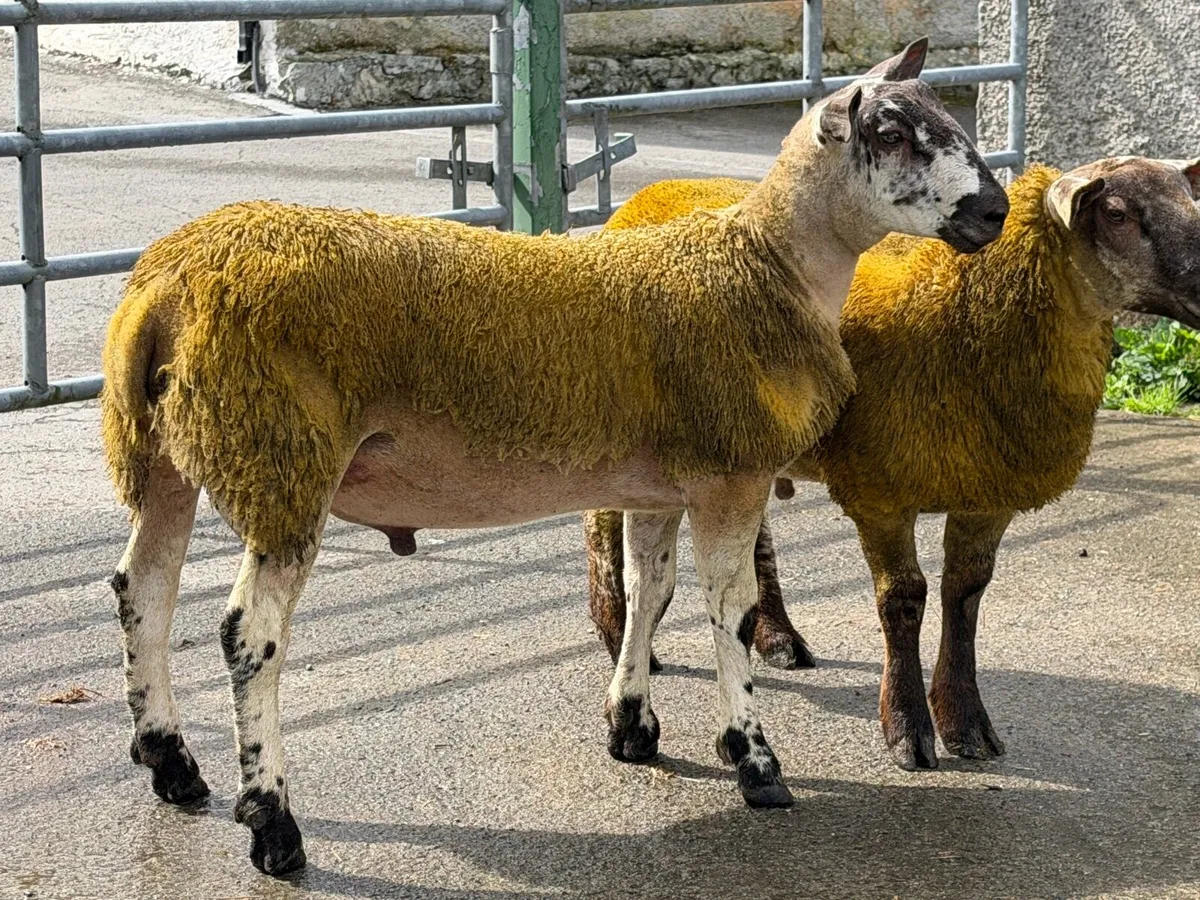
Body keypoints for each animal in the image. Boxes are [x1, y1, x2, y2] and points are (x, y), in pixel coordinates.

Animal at [100, 39, 1009, 876]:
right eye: (892, 132)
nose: (995, 211)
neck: (769, 267)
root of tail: (168, 282)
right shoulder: (731, 475)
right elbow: (732, 613)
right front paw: (754, 759)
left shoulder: (659, 484)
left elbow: (649, 592)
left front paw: (633, 726)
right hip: (280, 457)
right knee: (247, 635)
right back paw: (273, 824)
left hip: (167, 455)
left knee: (143, 589)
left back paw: (172, 765)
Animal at [585, 154, 1200, 771]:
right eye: (1115, 212)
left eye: (1188, 197)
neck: (972, 313)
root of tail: (646, 196)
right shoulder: (880, 488)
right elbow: (904, 599)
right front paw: (908, 730)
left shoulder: (988, 490)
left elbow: (965, 595)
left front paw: (967, 725)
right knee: (604, 537)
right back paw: (621, 641)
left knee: (755, 542)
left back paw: (779, 639)